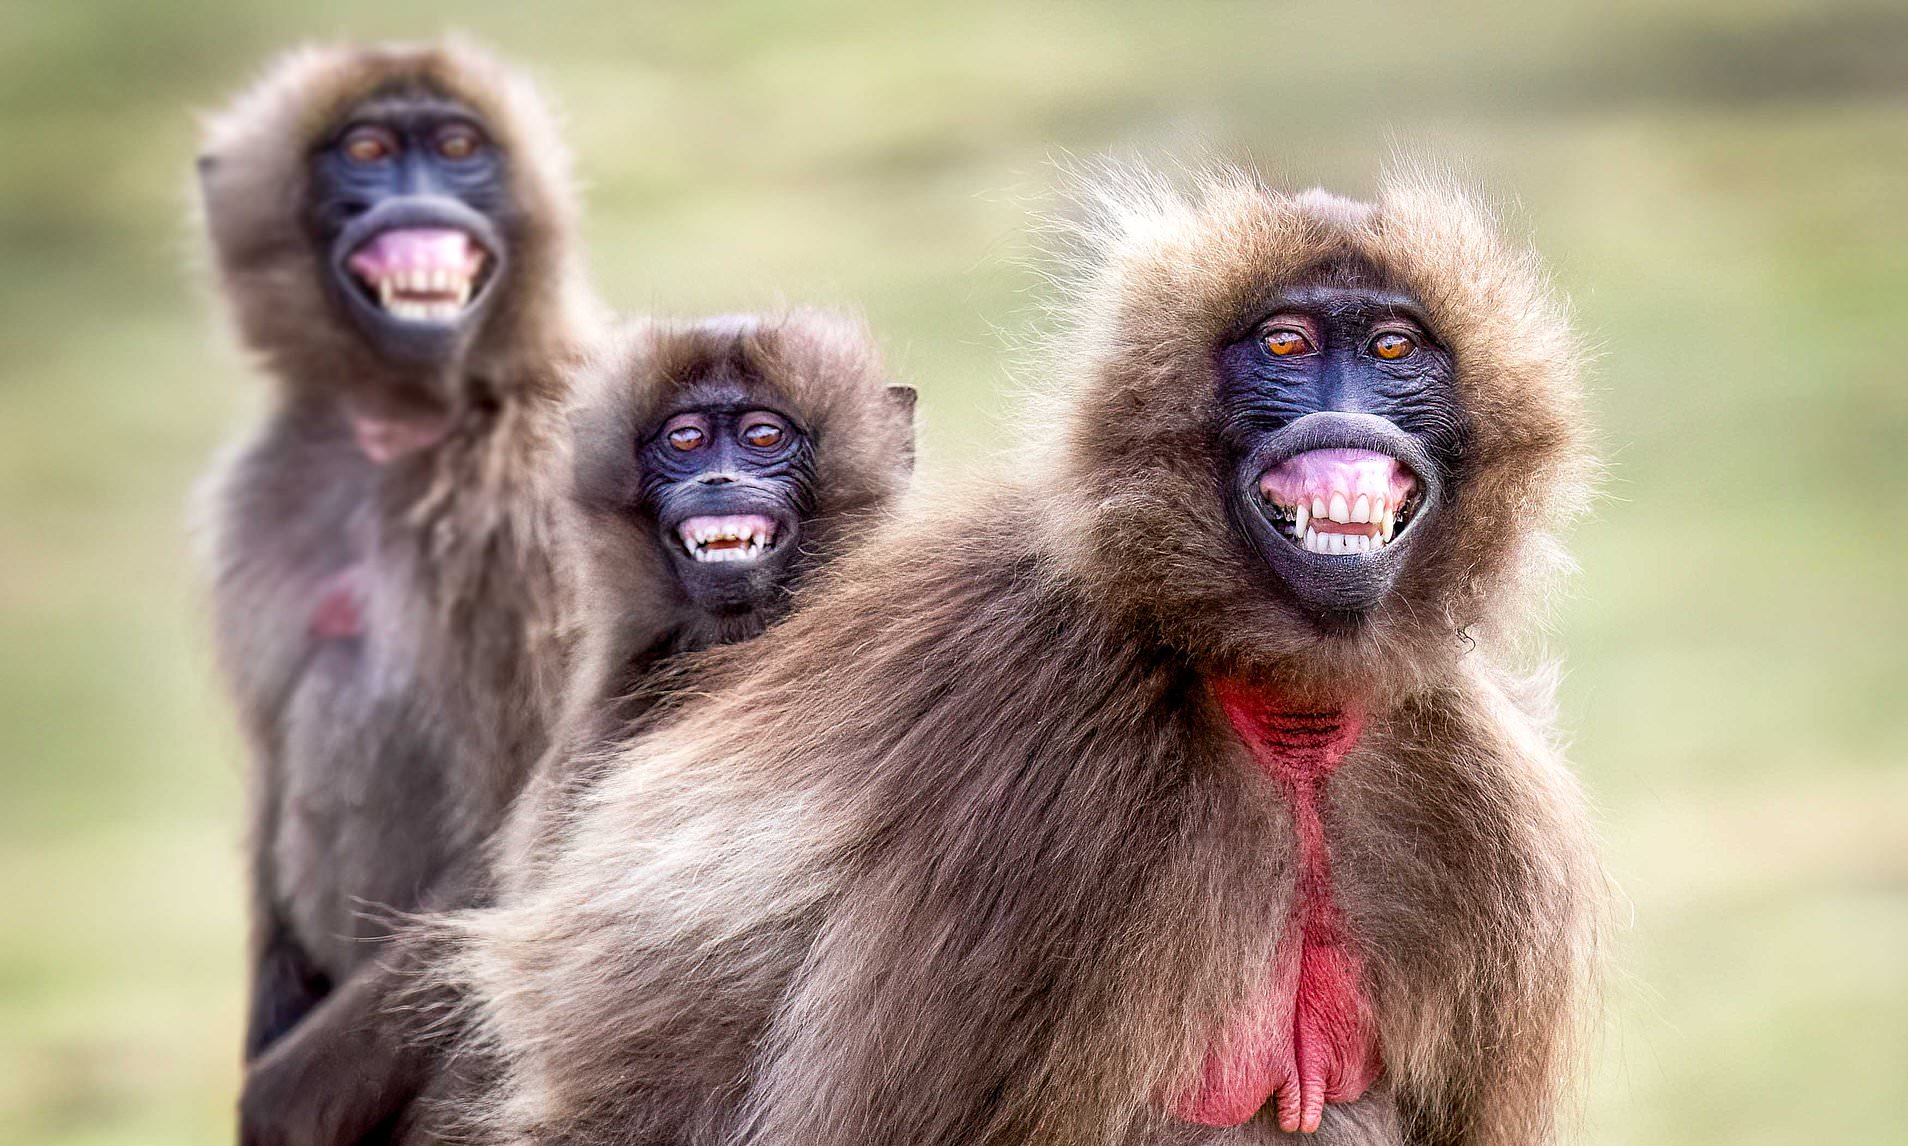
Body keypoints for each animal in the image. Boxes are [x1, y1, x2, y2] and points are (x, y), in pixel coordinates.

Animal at [442, 167, 1604, 1146]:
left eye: (1394, 350)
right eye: (1284, 346)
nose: (1344, 412)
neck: (1279, 700)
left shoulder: (1484, 776)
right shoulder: (1042, 792)